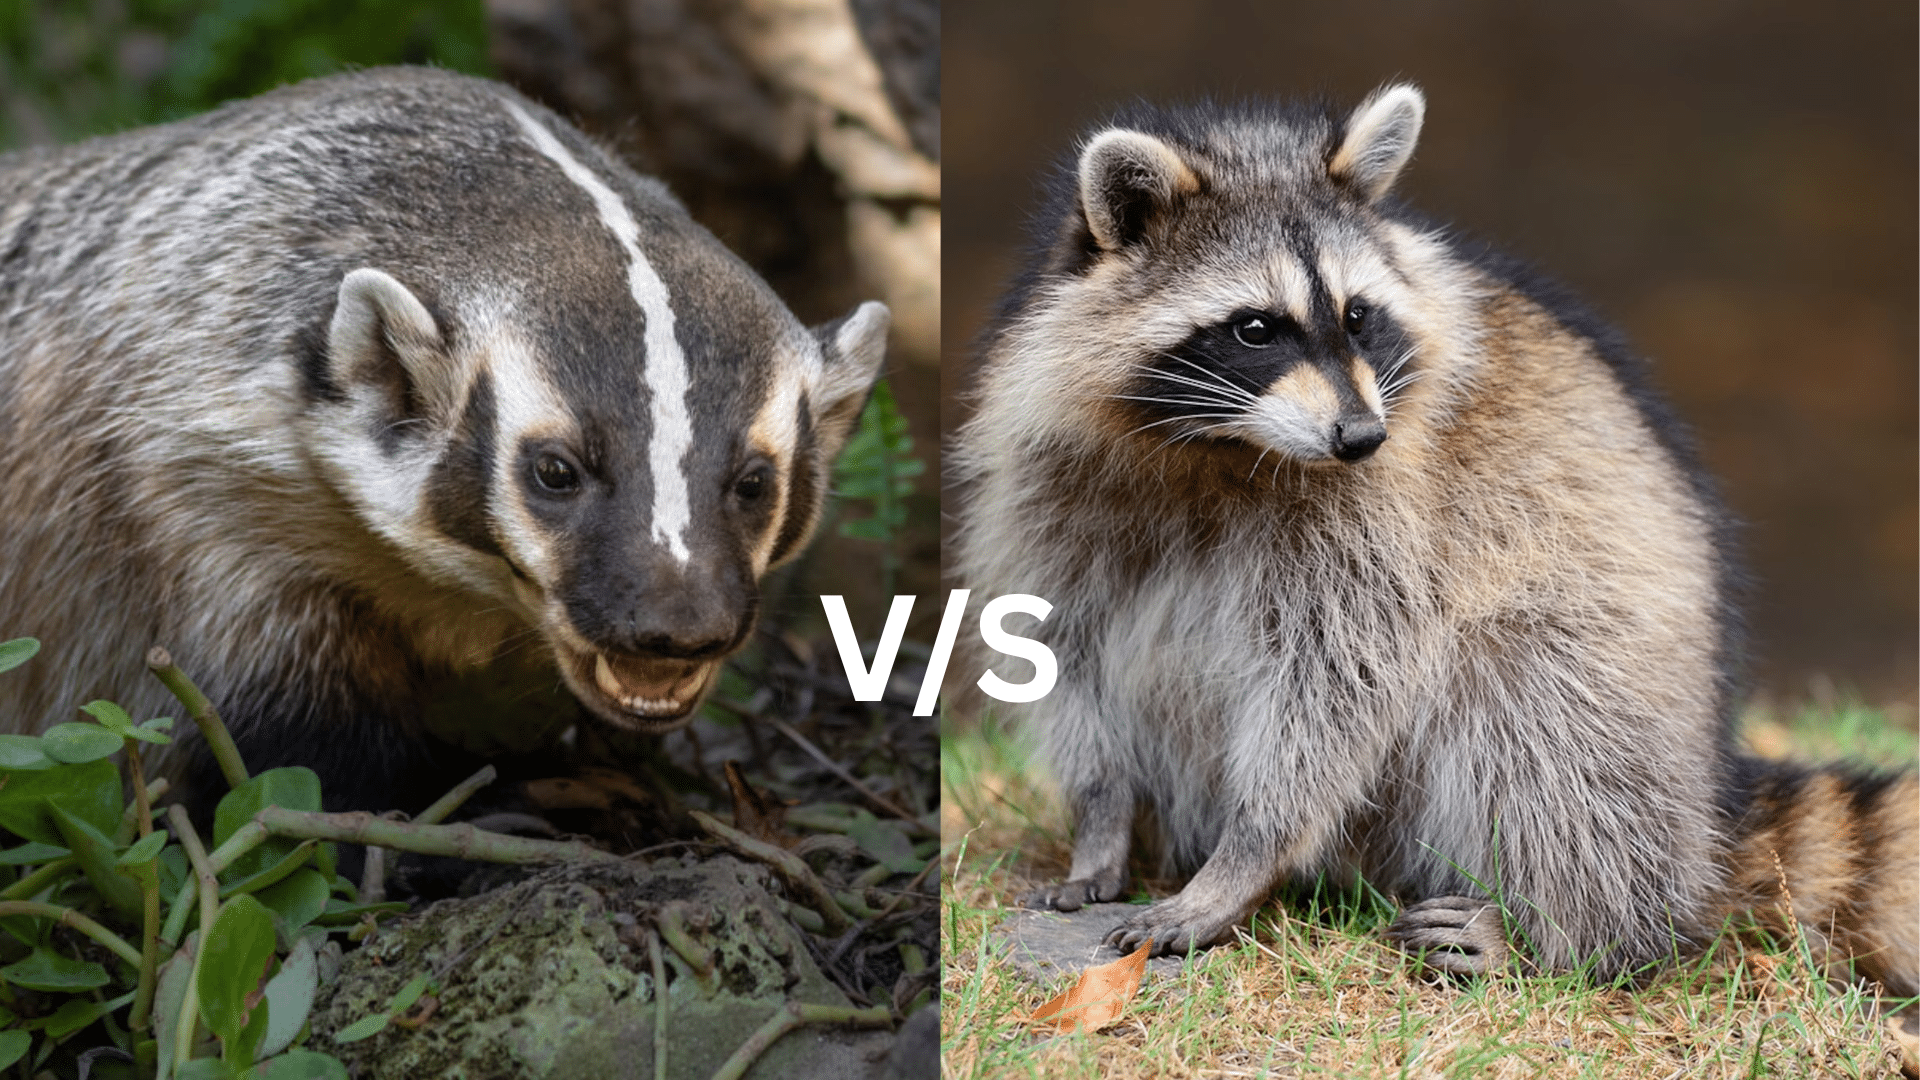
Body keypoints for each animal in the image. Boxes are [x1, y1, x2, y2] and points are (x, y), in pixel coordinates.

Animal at [953, 84, 1918, 990]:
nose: (1359, 437)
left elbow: (1338, 683)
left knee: (1539, 708)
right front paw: (1101, 818)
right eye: (1255, 327)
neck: (1220, 444)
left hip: (1623, 679)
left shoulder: (1384, 516)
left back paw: (1569, 930)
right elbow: (1067, 649)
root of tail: (1707, 800)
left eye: (1357, 316)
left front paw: (1247, 856)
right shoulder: (1051, 485)